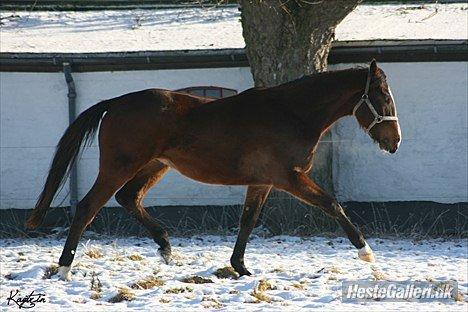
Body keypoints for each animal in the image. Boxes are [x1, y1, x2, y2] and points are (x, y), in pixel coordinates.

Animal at [26, 59, 398, 280]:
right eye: (382, 96)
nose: (394, 142)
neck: (291, 113)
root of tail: (115, 103)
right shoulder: (288, 177)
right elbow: (332, 204)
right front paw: (366, 253)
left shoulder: (263, 182)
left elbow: (248, 221)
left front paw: (241, 268)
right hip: (120, 165)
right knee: (88, 207)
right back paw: (64, 268)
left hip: (154, 166)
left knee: (128, 198)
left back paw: (165, 247)